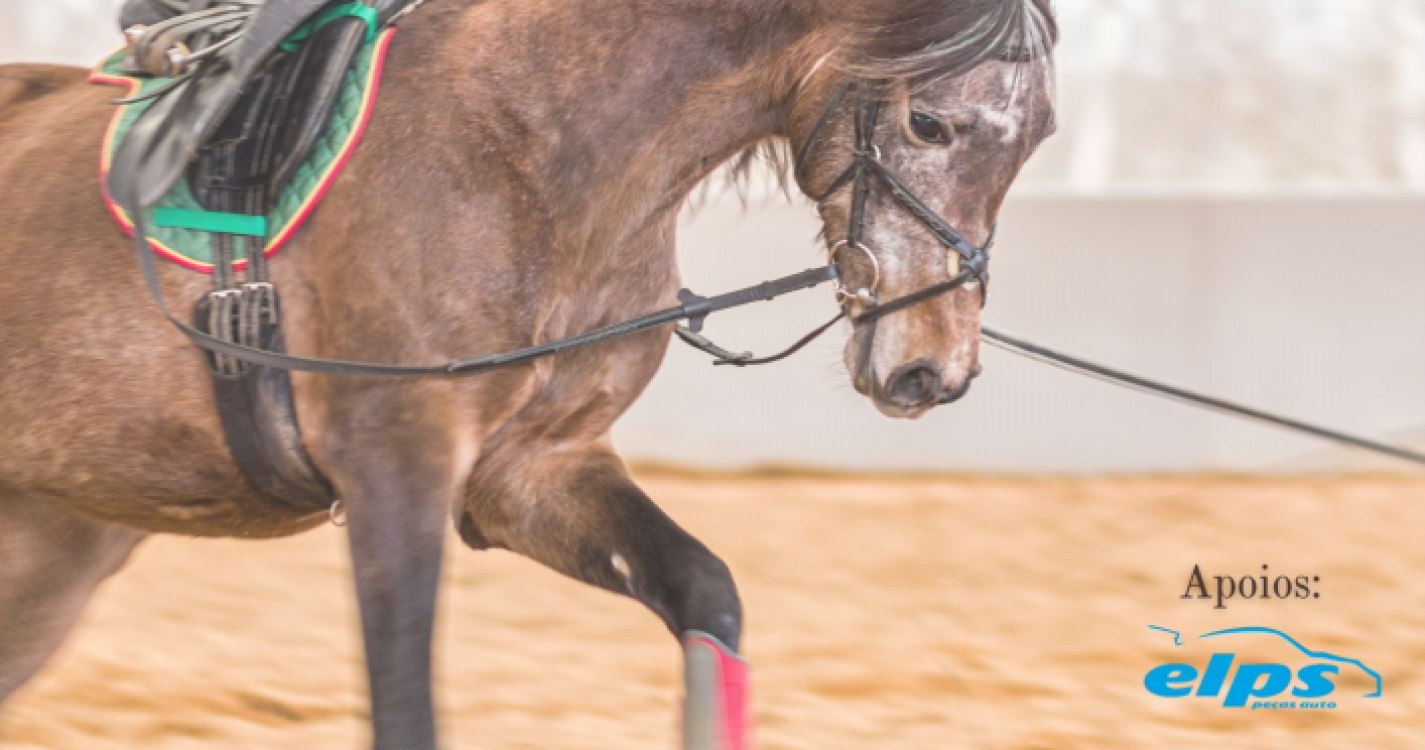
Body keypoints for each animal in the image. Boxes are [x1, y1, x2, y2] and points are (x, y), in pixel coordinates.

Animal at [0, 1, 1054, 747]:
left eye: (1040, 133)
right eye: (929, 122)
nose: (932, 368)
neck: (524, 147)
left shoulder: (529, 473)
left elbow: (707, 596)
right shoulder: (395, 470)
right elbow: (405, 709)